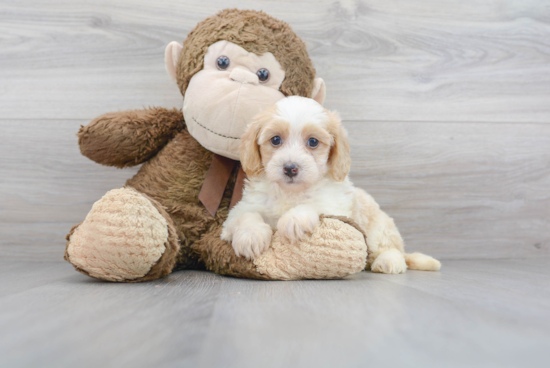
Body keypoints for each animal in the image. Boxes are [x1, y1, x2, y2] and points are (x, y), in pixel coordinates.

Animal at [222, 95, 442, 274]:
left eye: (313, 142)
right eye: (275, 140)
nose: (290, 168)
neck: (290, 192)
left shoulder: (336, 207)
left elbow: (313, 205)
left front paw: (294, 219)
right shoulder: (242, 208)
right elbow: (246, 215)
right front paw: (251, 236)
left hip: (379, 229)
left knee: (392, 250)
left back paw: (388, 262)